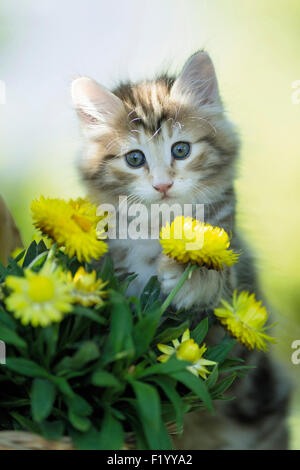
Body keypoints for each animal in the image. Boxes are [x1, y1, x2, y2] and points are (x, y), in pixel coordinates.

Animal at [71, 52, 290, 452]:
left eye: (181, 150)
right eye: (135, 158)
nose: (163, 185)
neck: (161, 224)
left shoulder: (231, 266)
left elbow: (214, 274)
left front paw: (187, 275)